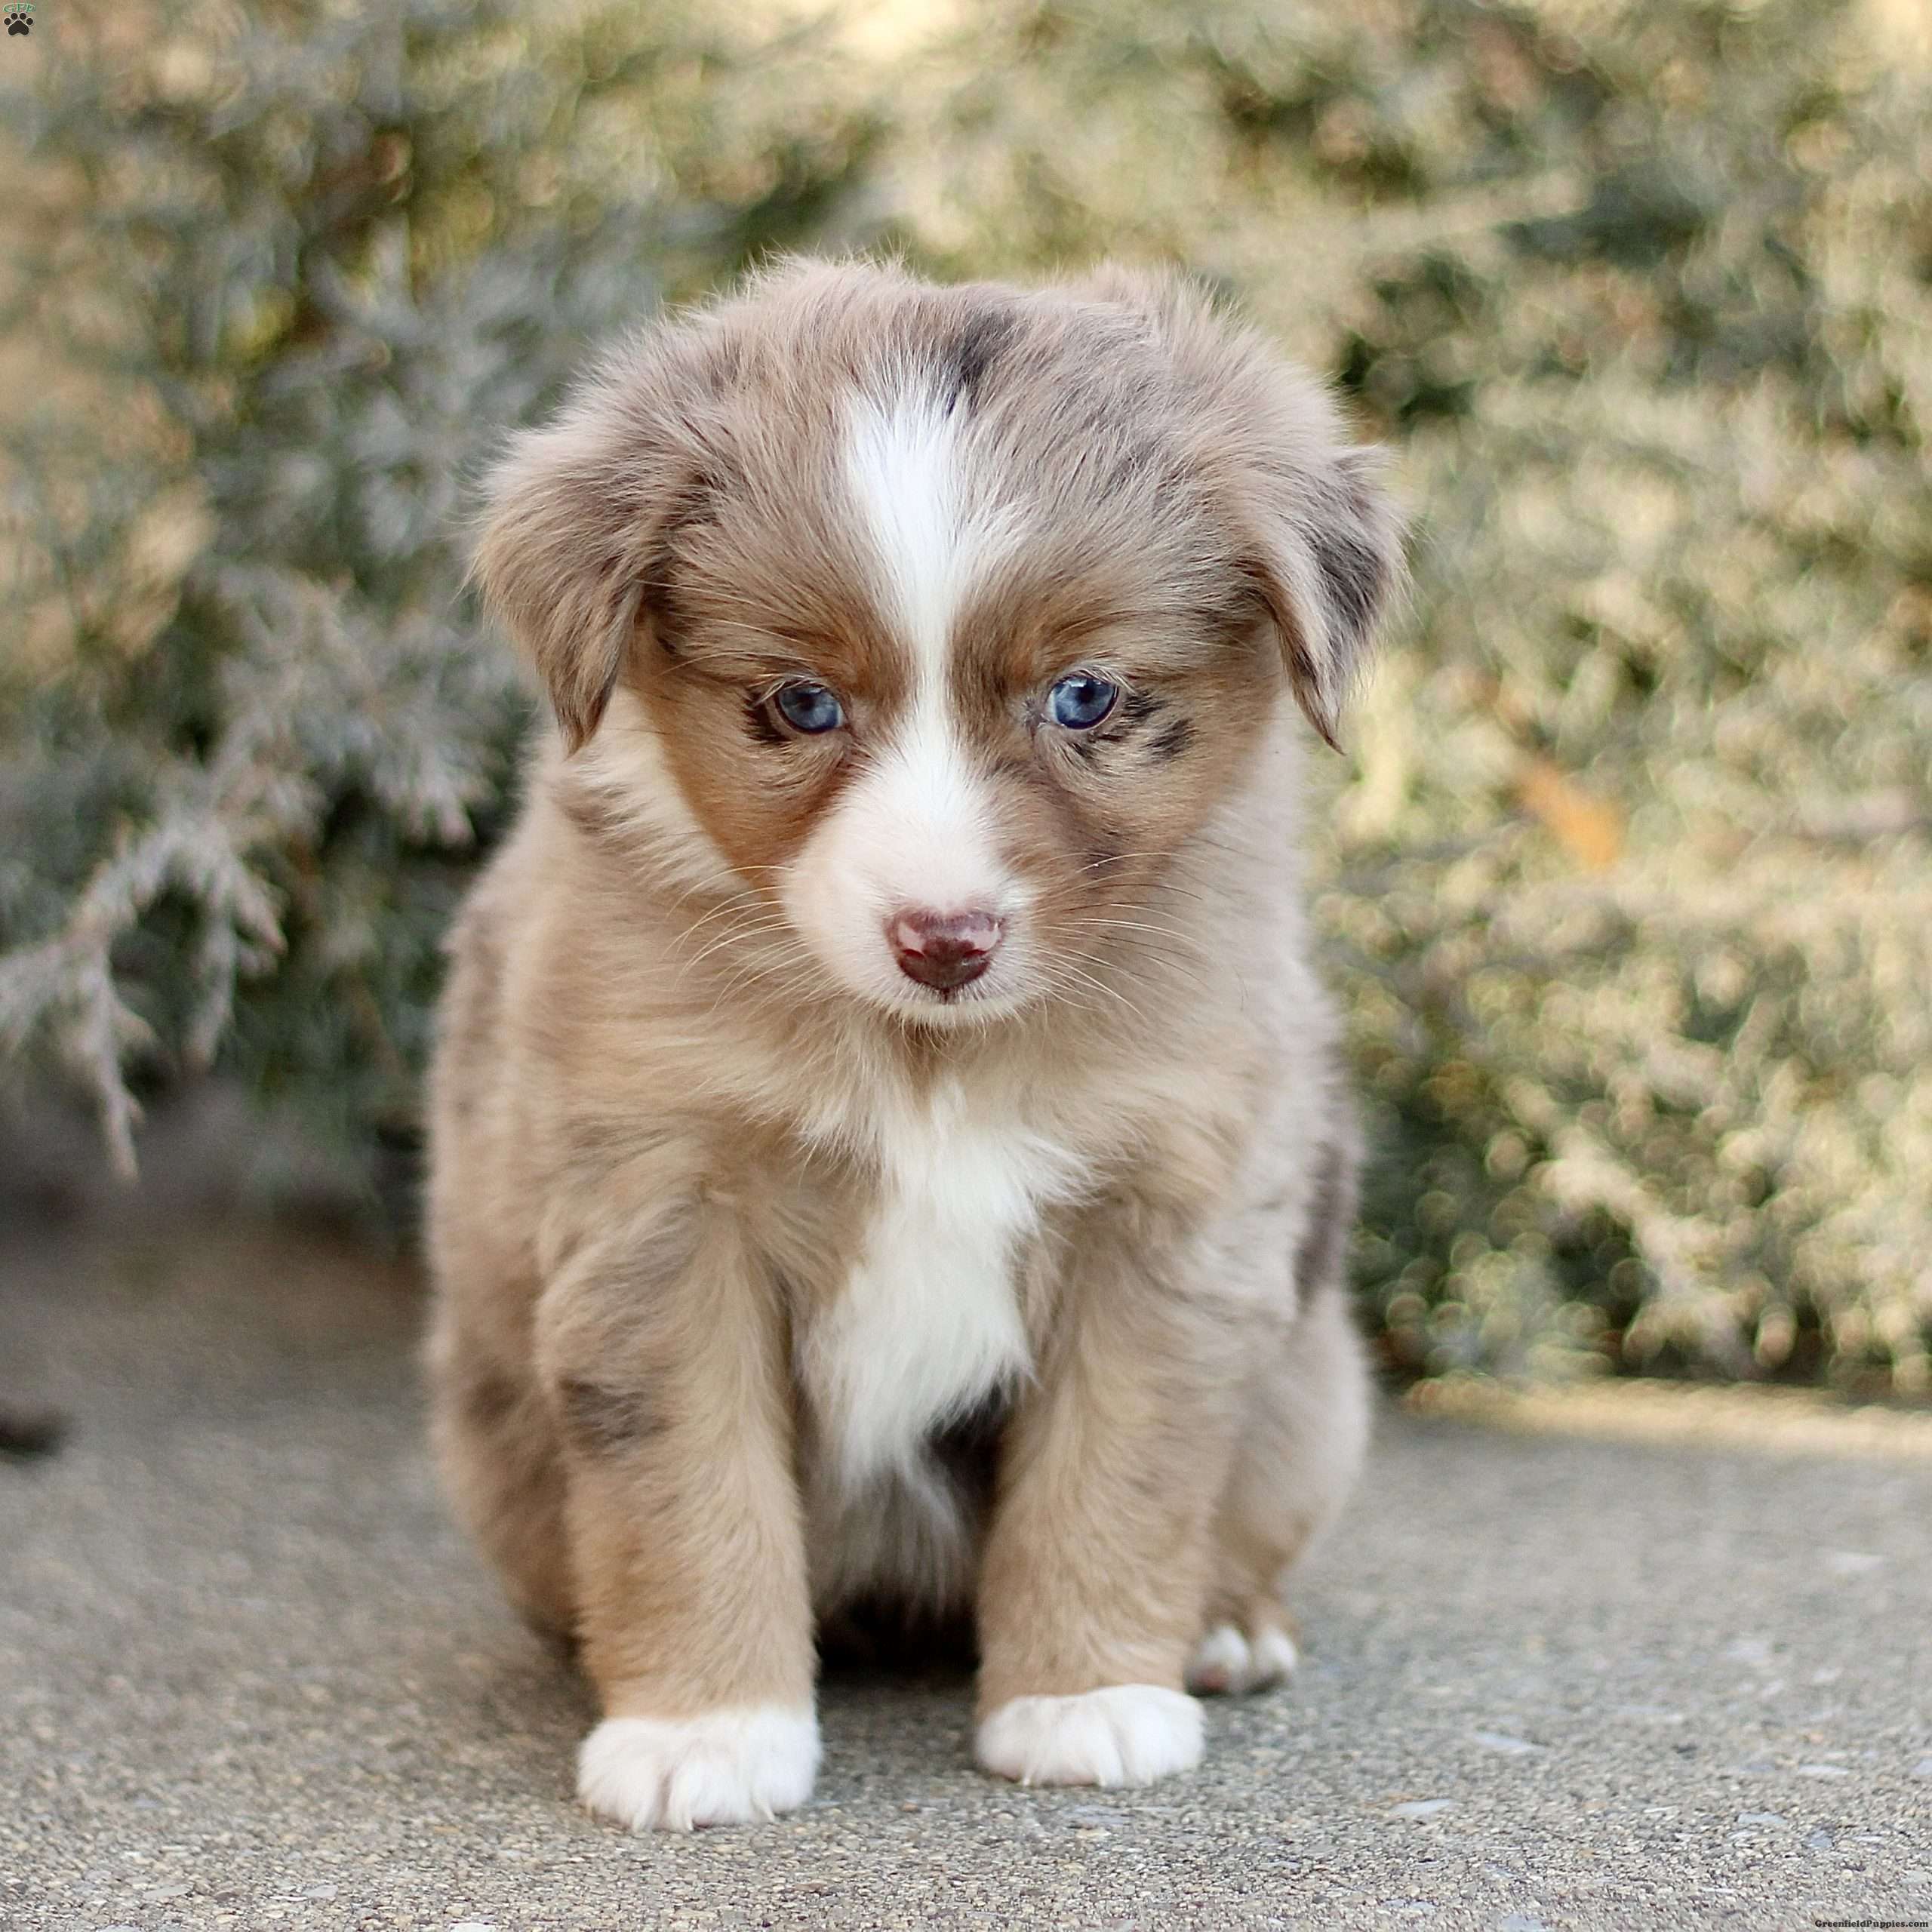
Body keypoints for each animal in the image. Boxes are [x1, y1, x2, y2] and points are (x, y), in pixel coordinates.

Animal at [426, 253, 1406, 1823]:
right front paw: (706, 1732)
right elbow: (687, 1485)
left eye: (1086, 695)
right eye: (799, 703)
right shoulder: (659, 1206)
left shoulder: (1169, 1212)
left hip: (1313, 1397)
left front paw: (1086, 1700)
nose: (944, 941)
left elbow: (1115, 1466)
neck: (928, 1058)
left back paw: (1225, 1632)